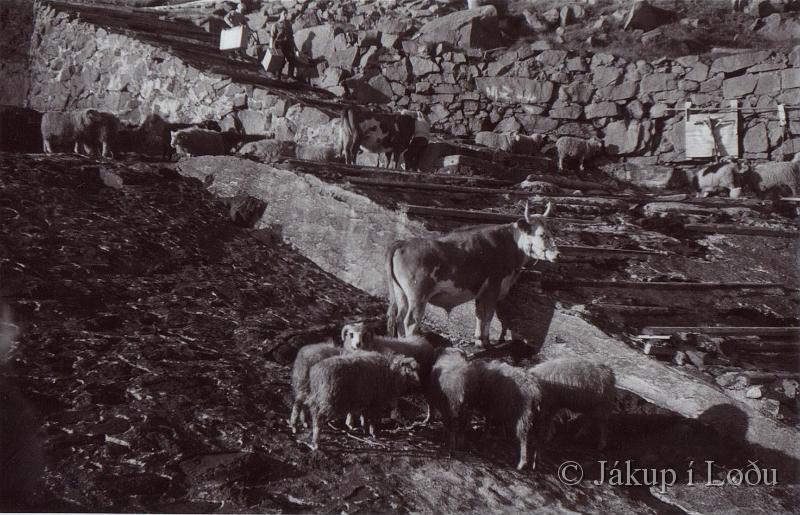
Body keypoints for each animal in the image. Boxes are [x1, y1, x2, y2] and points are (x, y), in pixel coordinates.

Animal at [384, 202, 560, 346]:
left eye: (551, 232)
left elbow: (479, 314)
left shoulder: (482, 292)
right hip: (418, 296)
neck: (510, 243)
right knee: (410, 321)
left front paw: (479, 339)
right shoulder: (493, 287)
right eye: (542, 234)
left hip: (401, 293)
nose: (558, 254)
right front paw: (486, 342)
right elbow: (488, 315)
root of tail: (402, 243)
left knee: (399, 317)